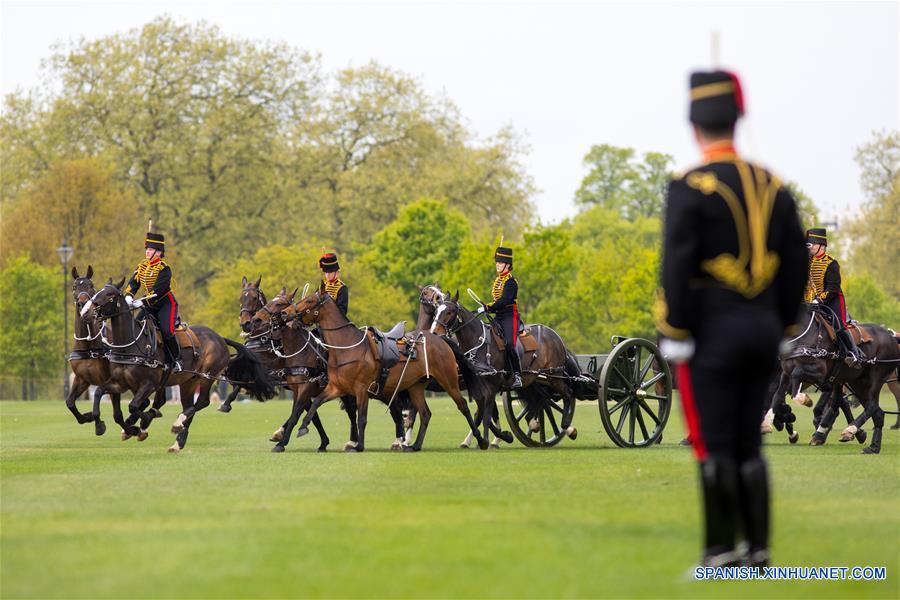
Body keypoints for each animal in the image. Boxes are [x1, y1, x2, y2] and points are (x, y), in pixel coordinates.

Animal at [87, 278, 274, 452]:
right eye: (99, 291)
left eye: (109, 295)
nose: (88, 311)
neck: (130, 345)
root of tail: (220, 337)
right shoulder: (120, 383)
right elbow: (101, 394)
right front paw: (108, 426)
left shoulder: (149, 383)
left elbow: (133, 406)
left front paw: (143, 422)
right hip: (188, 382)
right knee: (188, 406)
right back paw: (178, 440)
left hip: (206, 376)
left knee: (202, 402)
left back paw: (178, 423)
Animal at [284, 286, 488, 450]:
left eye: (309, 300)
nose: (286, 313)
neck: (347, 347)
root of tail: (440, 339)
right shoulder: (336, 388)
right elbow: (315, 404)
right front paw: (302, 428)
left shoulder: (362, 390)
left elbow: (362, 418)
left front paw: (359, 446)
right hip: (416, 387)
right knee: (425, 414)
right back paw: (415, 445)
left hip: (449, 381)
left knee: (463, 406)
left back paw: (480, 440)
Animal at [428, 290, 576, 446]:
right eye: (436, 311)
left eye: (449, 312)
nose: (434, 333)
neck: (479, 342)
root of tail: (556, 336)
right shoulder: (481, 386)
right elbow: (483, 414)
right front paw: (494, 437)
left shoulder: (492, 386)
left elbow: (485, 415)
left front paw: (488, 439)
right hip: (535, 378)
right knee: (540, 398)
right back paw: (535, 423)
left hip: (554, 375)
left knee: (567, 394)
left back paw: (566, 426)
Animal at [776, 304, 896, 454]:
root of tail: (891, 337)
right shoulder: (786, 373)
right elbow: (778, 397)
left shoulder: (820, 372)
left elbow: (797, 375)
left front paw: (803, 400)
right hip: (858, 383)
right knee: (877, 412)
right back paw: (873, 447)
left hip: (876, 378)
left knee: (872, 405)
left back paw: (849, 430)